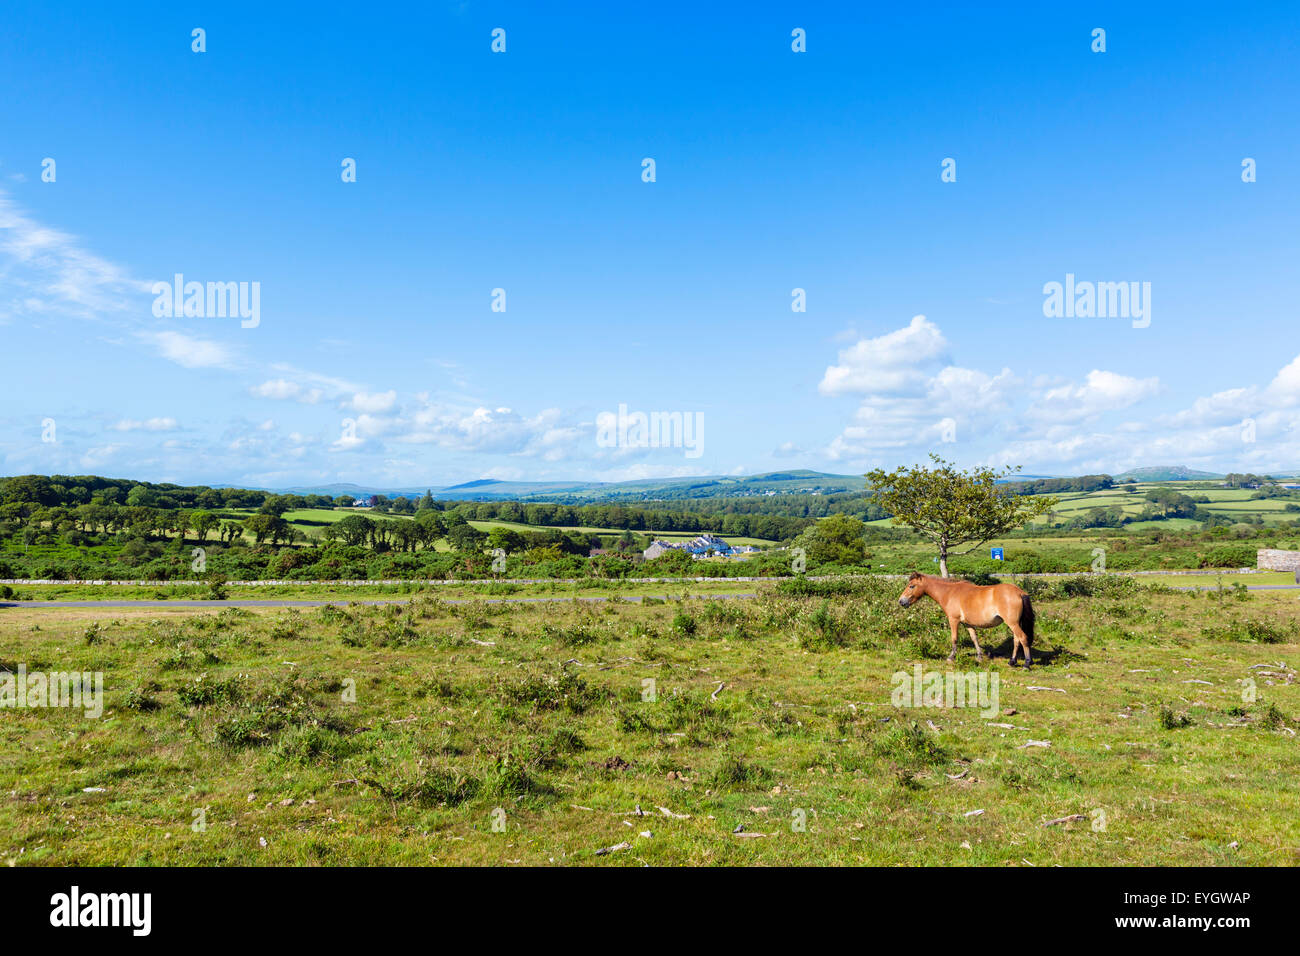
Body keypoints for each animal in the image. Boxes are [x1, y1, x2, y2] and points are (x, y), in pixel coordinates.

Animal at [894, 574, 1034, 665]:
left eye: (912, 586)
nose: (901, 601)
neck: (950, 593)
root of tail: (1020, 592)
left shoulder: (953, 620)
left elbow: (954, 638)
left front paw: (951, 657)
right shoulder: (968, 624)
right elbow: (974, 638)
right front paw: (979, 657)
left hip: (1013, 623)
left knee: (1023, 638)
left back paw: (1027, 663)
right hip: (1014, 624)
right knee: (1017, 640)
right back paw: (1012, 661)